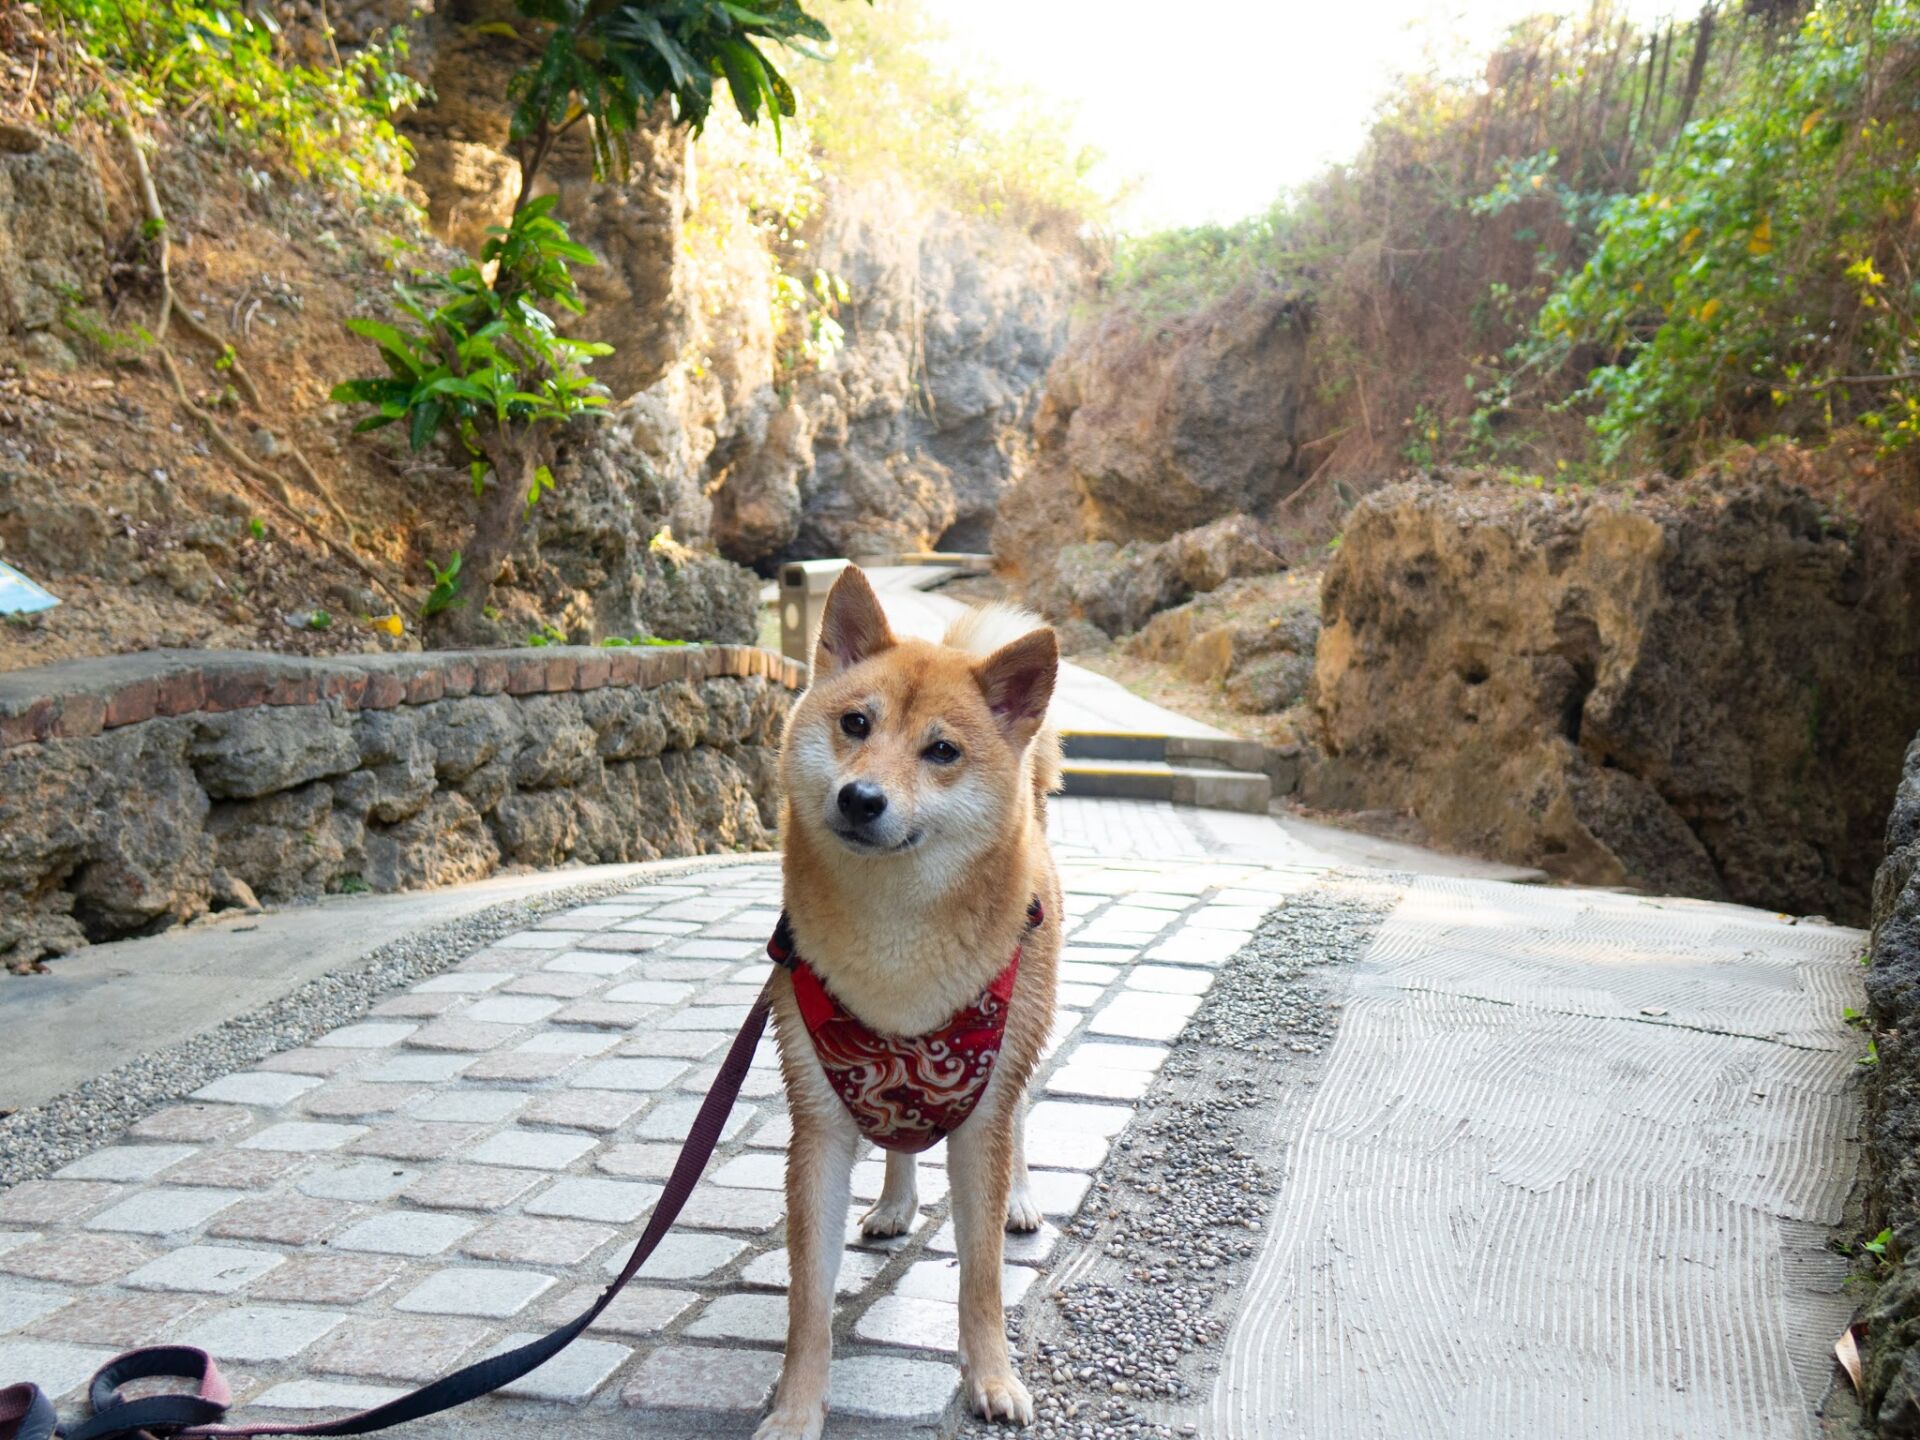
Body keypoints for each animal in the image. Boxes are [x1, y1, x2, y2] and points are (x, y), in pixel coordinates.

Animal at [752, 568, 1067, 1436]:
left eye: (942, 751)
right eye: (855, 723)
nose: (861, 798)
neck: (894, 943)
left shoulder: (979, 1113)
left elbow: (982, 1277)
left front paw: (991, 1376)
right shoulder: (819, 1125)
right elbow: (807, 1301)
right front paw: (797, 1408)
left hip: (1021, 1038)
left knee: (1020, 1115)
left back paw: (1022, 1197)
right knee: (897, 1136)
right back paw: (895, 1203)